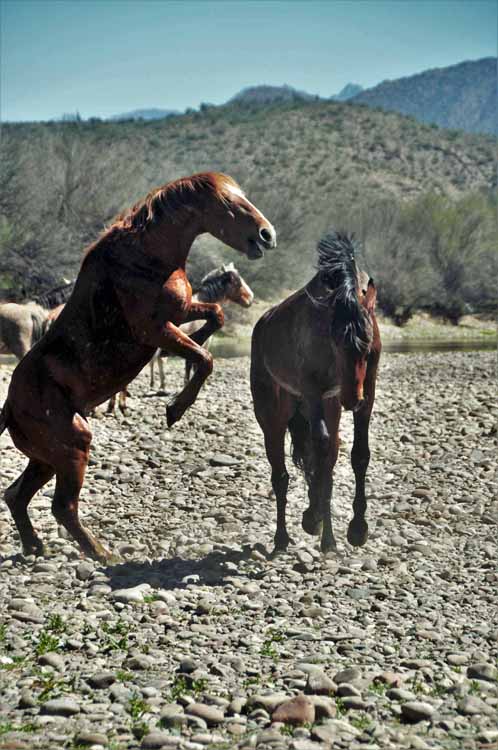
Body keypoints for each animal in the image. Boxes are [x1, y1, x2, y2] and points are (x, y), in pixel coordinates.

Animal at [0, 173, 276, 564]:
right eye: (227, 202)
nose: (267, 234)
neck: (146, 257)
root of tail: (9, 406)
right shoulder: (154, 330)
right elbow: (204, 358)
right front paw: (175, 409)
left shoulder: (180, 312)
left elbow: (215, 317)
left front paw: (198, 343)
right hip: (72, 446)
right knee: (62, 507)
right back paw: (102, 554)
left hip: (45, 458)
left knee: (16, 495)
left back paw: (35, 546)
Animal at [251, 234, 380, 560]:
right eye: (334, 340)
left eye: (367, 344)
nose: (352, 398)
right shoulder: (312, 392)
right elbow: (319, 457)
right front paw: (322, 528)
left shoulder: (368, 391)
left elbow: (357, 455)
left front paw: (357, 529)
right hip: (274, 414)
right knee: (281, 475)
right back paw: (282, 538)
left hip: (328, 407)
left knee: (323, 455)